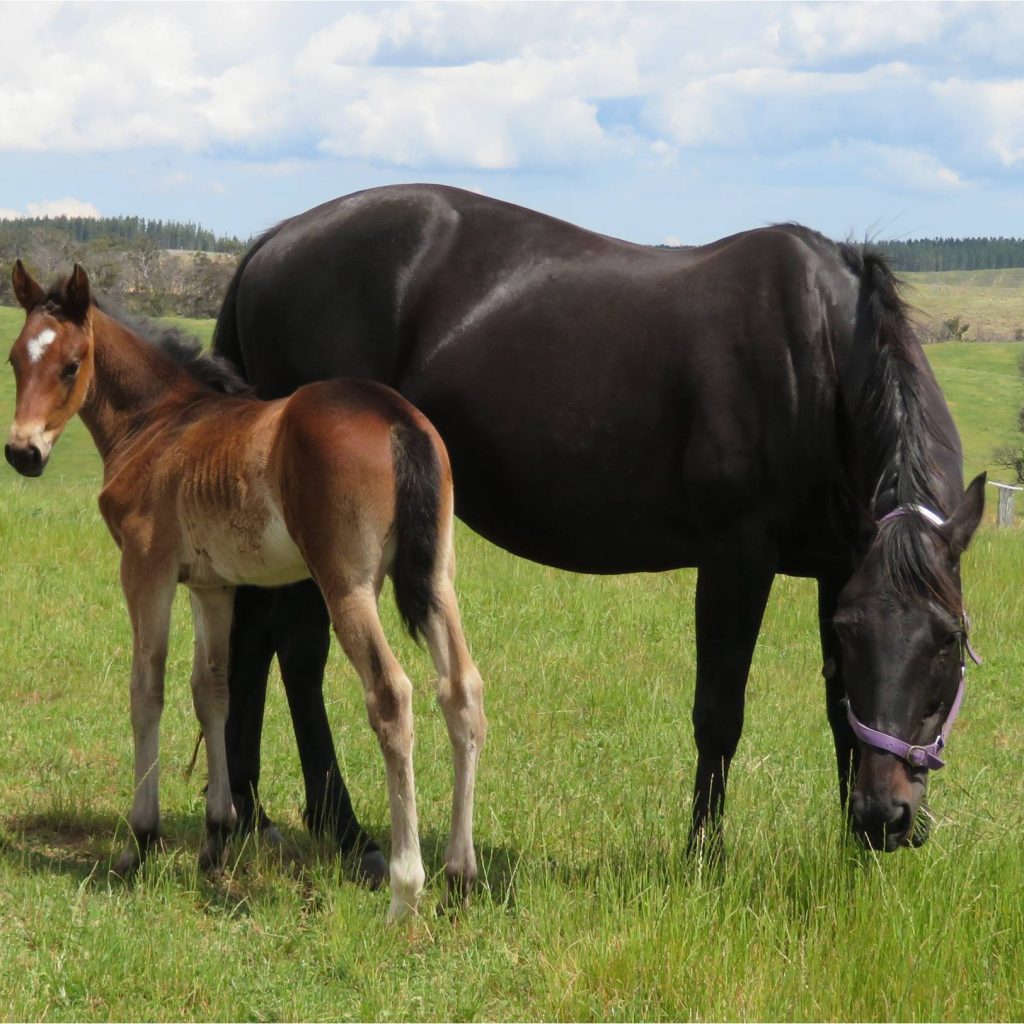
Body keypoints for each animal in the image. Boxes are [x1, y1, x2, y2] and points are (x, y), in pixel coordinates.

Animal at [4, 260, 486, 920]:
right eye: (13, 359)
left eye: (71, 365)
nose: (22, 453)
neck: (158, 423)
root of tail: (396, 416)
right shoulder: (213, 587)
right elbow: (214, 691)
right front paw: (215, 840)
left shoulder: (145, 569)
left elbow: (147, 690)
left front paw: (140, 841)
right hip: (438, 578)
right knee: (461, 690)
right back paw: (461, 874)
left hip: (346, 585)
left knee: (392, 696)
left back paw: (405, 889)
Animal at [214, 184, 984, 858]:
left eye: (948, 640)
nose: (889, 817)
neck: (819, 357)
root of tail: (273, 242)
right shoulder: (736, 557)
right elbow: (719, 711)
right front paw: (704, 856)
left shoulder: (839, 564)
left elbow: (837, 708)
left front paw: (850, 852)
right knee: (299, 651)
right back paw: (340, 827)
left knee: (251, 640)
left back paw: (249, 813)